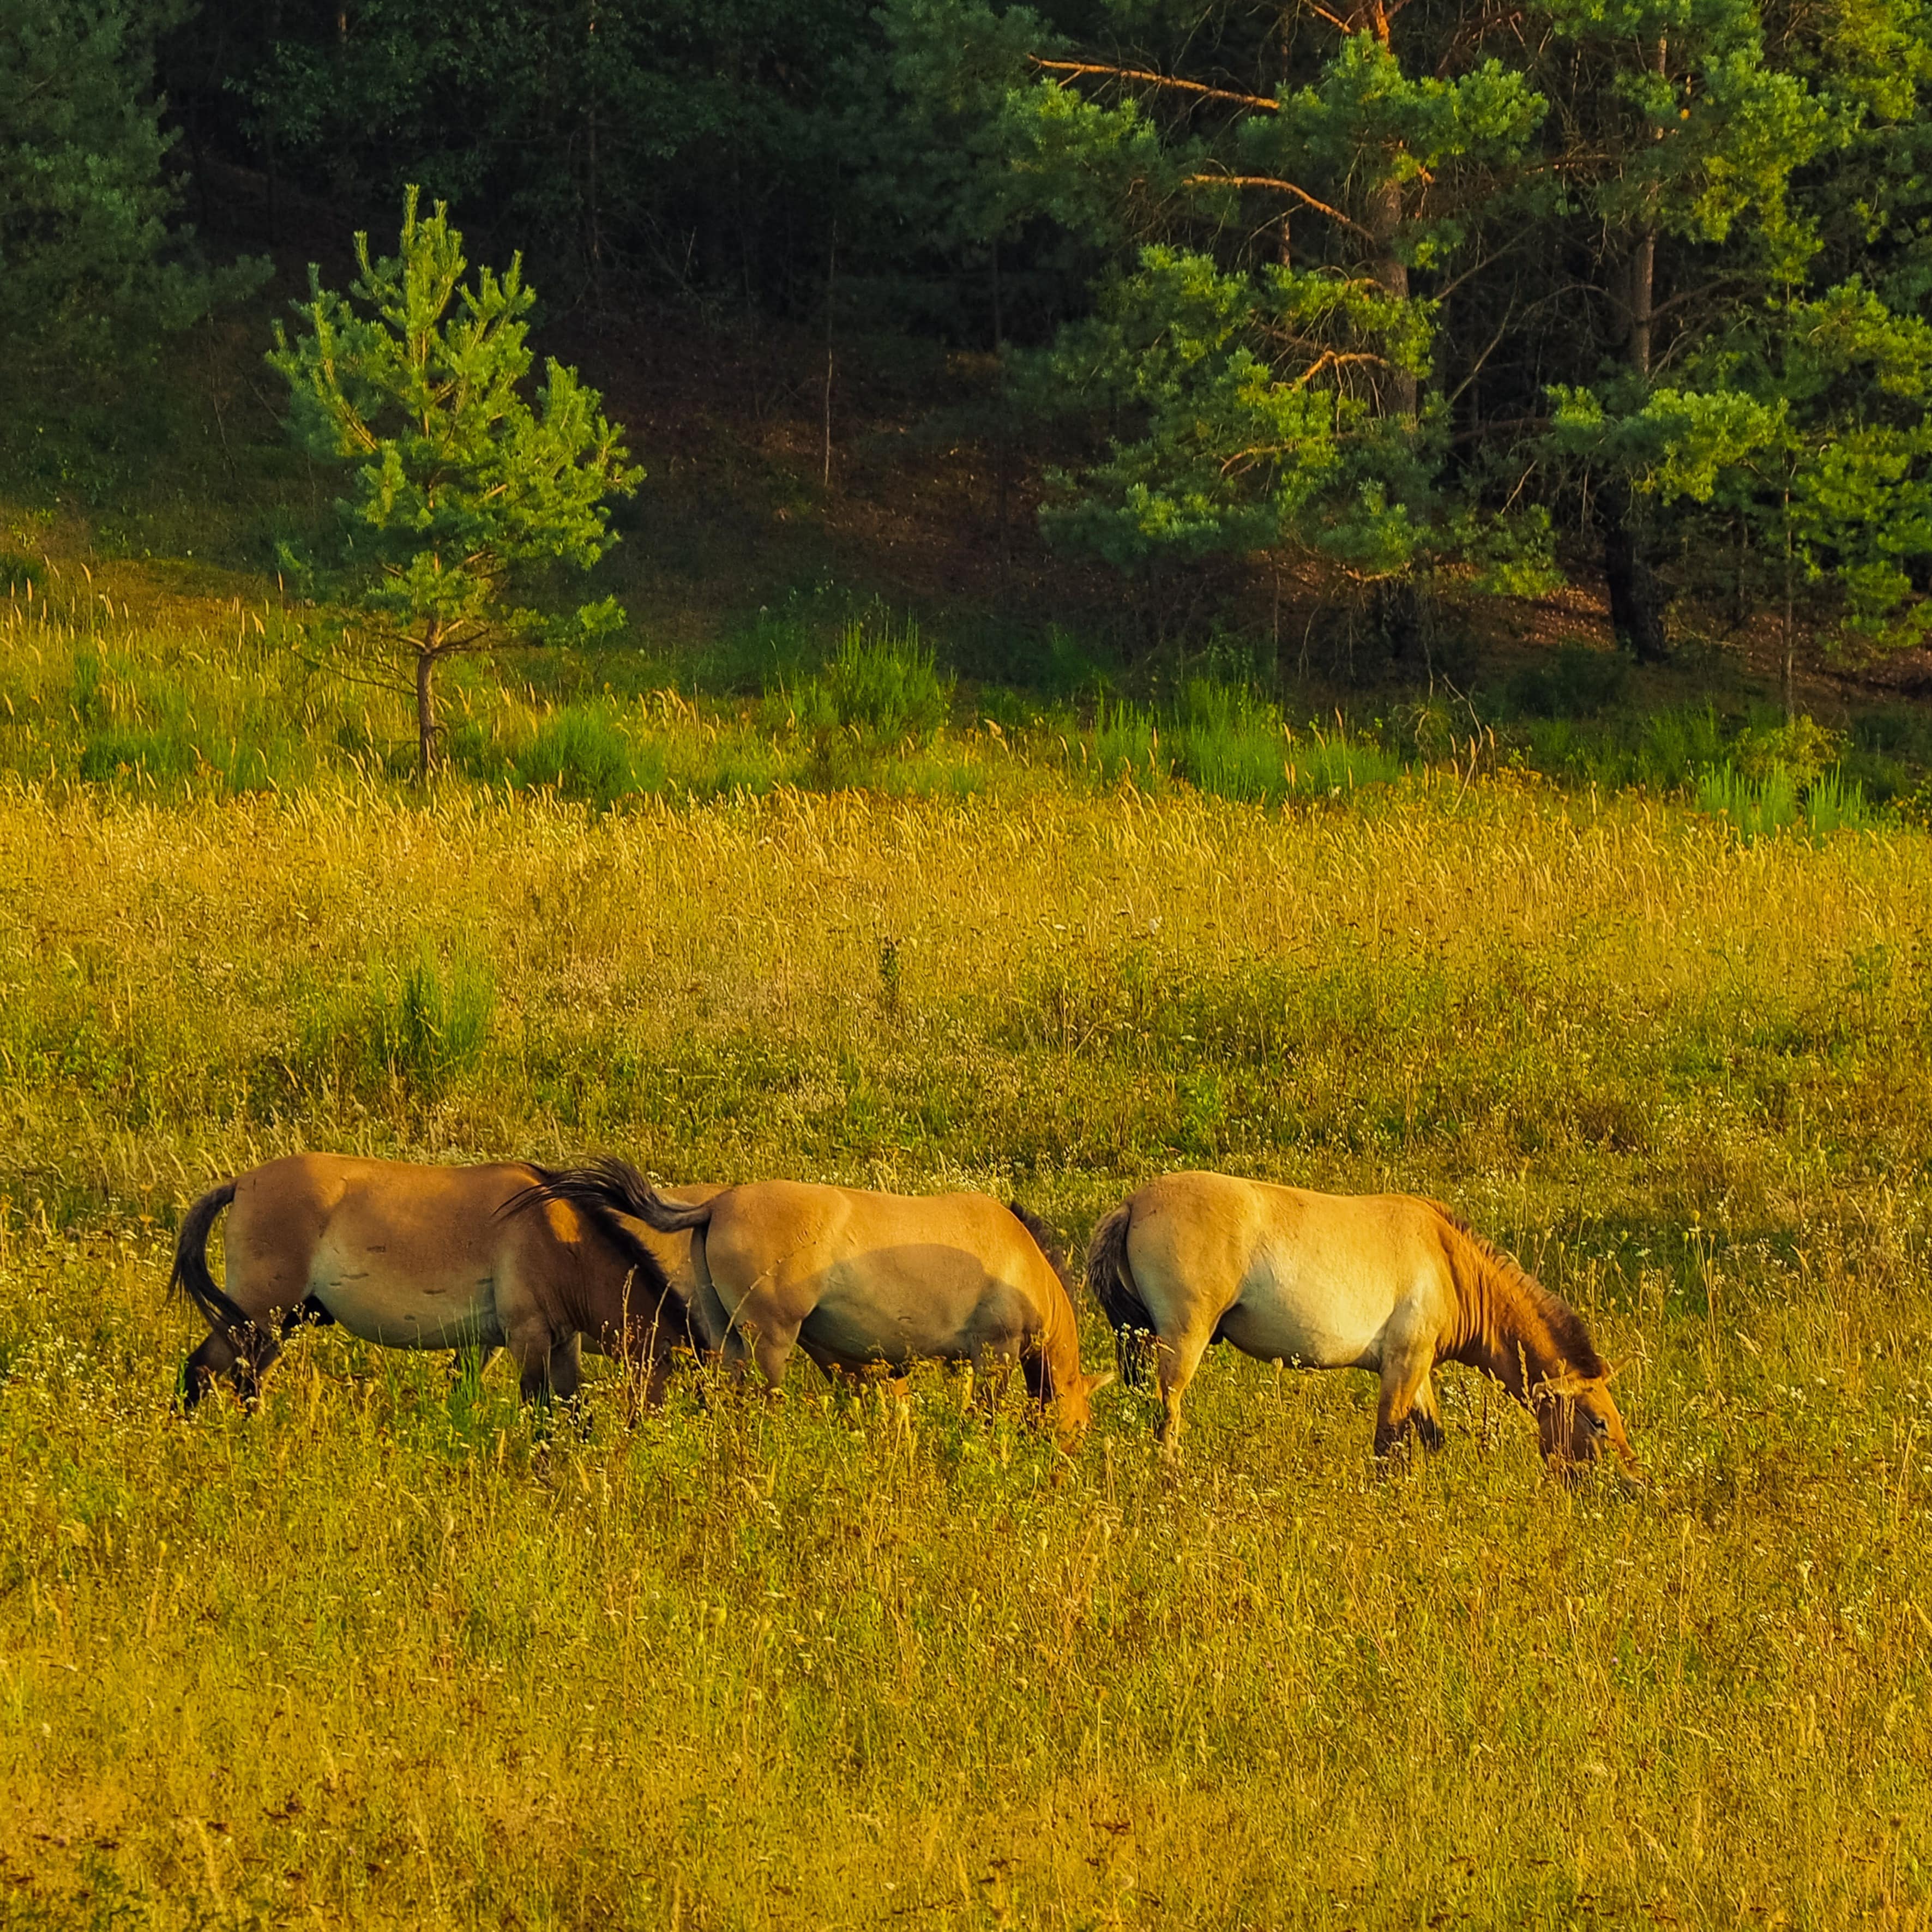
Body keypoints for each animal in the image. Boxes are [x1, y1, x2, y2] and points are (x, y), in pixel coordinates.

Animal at [170, 1151, 718, 1414]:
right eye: (693, 1396)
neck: (554, 1233)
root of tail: (241, 1184)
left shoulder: (552, 1343)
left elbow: (571, 1412)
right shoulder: (528, 1337)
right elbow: (540, 1413)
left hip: (281, 1322)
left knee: (236, 1378)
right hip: (258, 1314)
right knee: (206, 1372)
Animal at [525, 1159, 1120, 1437]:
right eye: (1080, 1425)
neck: (1020, 1259)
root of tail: (717, 1205)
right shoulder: (993, 1351)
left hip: (728, 1341)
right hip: (768, 1343)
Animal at [1082, 1166, 1638, 1468]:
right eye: (1598, 1421)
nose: (1630, 1485)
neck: (1449, 1264)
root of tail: (1132, 1204)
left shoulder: (1416, 1369)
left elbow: (1430, 1437)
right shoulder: (1401, 1367)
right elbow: (1386, 1445)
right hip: (1182, 1341)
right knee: (1168, 1416)